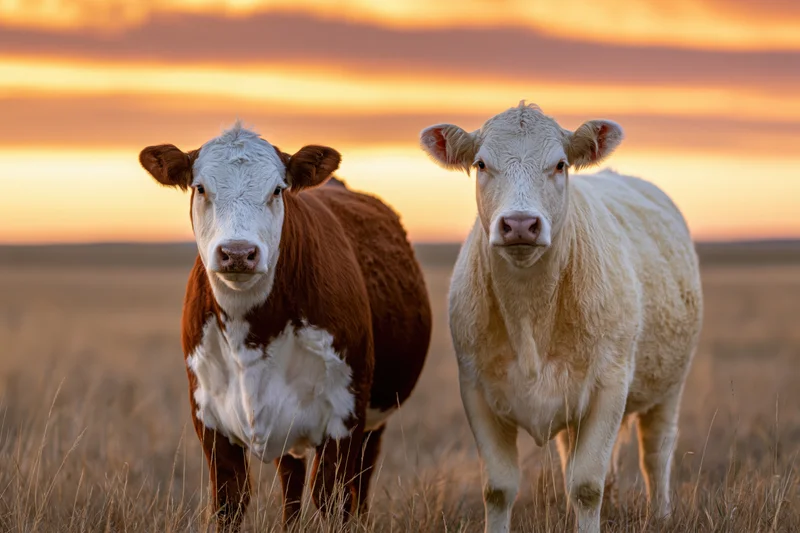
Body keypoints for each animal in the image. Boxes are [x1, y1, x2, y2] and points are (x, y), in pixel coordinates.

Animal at [138, 122, 432, 531]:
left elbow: (332, 498)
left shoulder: (345, 415)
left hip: (375, 416)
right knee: (291, 482)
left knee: (360, 482)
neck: (252, 335)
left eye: (277, 189)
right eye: (200, 187)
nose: (238, 252)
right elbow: (229, 503)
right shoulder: (209, 418)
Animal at [419, 102, 703, 533]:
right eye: (481, 164)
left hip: (670, 386)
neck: (531, 315)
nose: (520, 223)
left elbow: (586, 485)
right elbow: (498, 488)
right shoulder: (476, 389)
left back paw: (661, 514)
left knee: (656, 452)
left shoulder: (609, 386)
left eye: (560, 164)